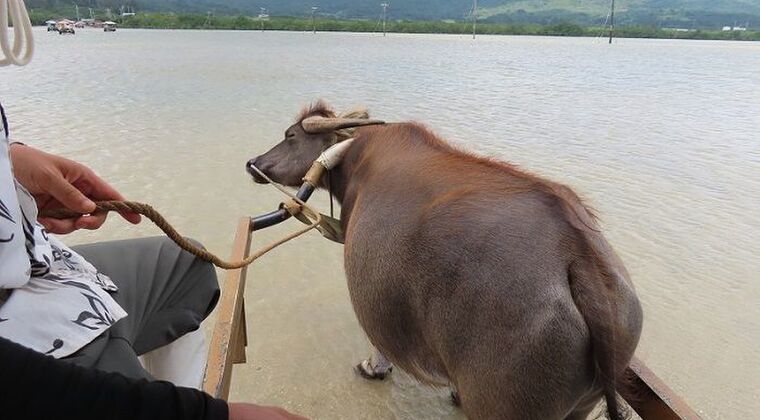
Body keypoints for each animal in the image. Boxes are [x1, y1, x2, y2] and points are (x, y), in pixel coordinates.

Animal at [248, 102, 640, 420]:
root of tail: (580, 258)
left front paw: (373, 368)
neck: (358, 158)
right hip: (583, 404)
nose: (253, 163)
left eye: (291, 135)